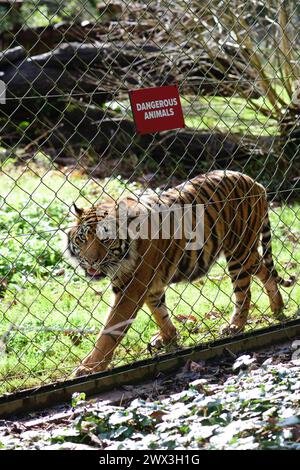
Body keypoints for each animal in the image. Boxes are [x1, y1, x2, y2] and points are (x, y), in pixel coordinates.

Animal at [67, 171, 296, 376]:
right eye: (82, 239)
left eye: (105, 239)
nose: (91, 261)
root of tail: (255, 183)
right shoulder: (149, 285)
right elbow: (159, 311)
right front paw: (168, 337)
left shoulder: (131, 288)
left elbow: (110, 330)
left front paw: (88, 368)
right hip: (246, 251)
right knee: (264, 270)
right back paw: (277, 307)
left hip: (238, 251)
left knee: (244, 292)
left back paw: (235, 325)